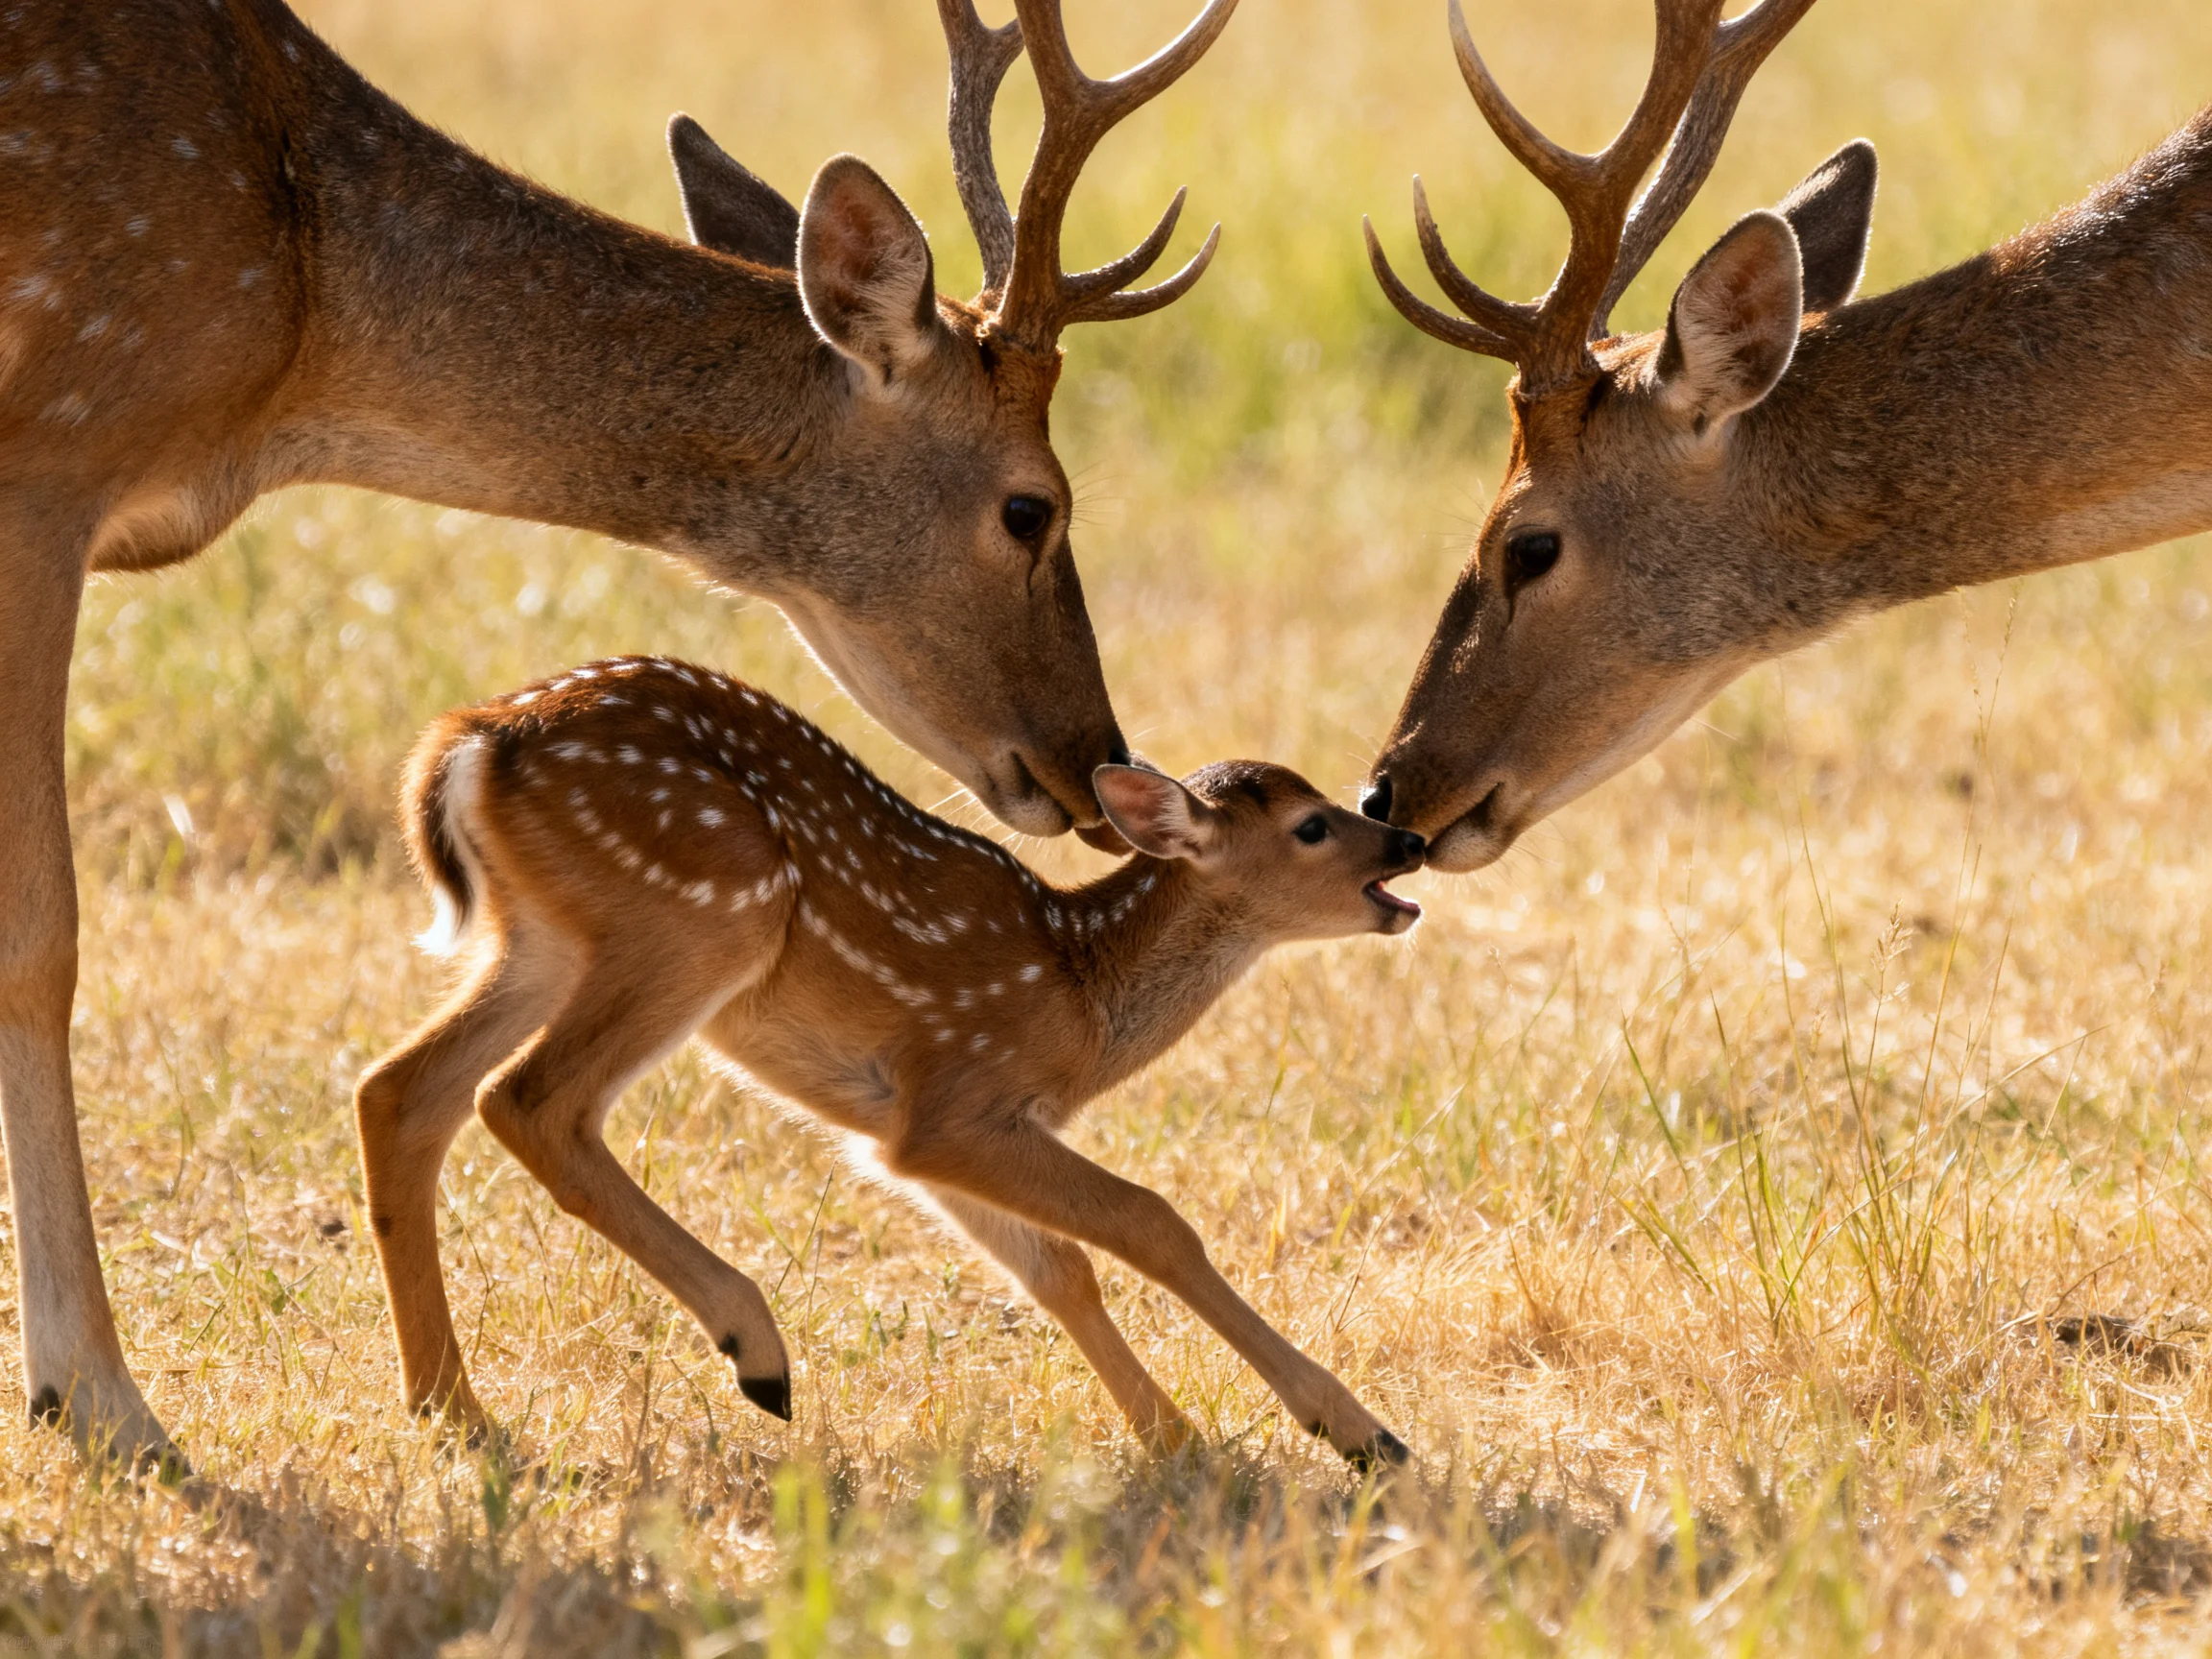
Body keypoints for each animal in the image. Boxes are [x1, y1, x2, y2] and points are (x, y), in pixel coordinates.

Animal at [0, 0, 1236, 1466]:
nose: (1095, 761)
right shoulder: (50, 450)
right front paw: (95, 1393)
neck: (292, 310)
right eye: (1033, 506)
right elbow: (43, 934)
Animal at [352, 656, 1428, 1466]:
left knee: (401, 1089)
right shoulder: (958, 1095)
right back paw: (755, 1350)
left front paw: (1178, 1442)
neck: (1079, 997)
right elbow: (1149, 1222)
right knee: (528, 1100)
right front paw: (1360, 1434)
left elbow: (1060, 1269)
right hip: (703, 911)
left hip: (541, 941)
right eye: (1312, 825)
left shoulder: (903, 1134)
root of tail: (470, 742)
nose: (1408, 838)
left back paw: (456, 1412)